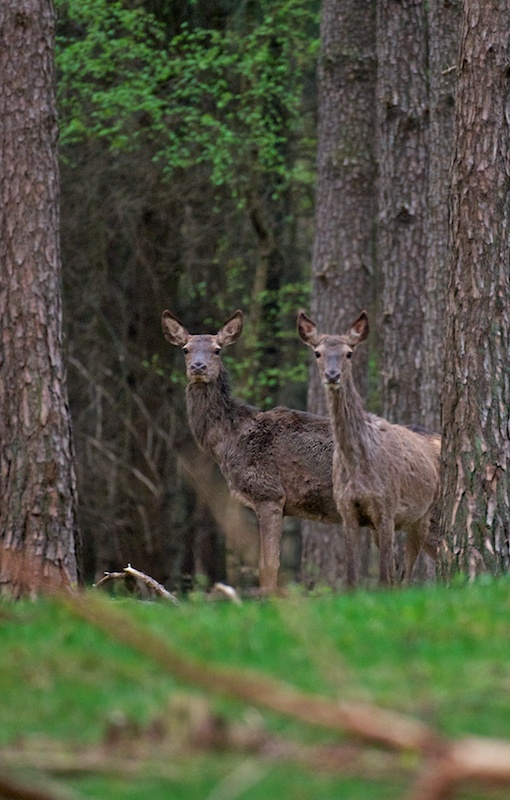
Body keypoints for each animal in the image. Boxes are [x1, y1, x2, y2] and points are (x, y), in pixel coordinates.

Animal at [161, 310, 340, 592]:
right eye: (185, 349)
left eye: (217, 349)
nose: (198, 367)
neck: (230, 441)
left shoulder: (269, 493)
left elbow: (269, 566)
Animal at [296, 310, 440, 584]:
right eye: (317, 352)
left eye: (349, 353)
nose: (332, 375)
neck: (358, 465)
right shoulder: (347, 511)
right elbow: (352, 579)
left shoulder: (386, 508)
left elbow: (383, 578)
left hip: (424, 514)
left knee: (411, 574)